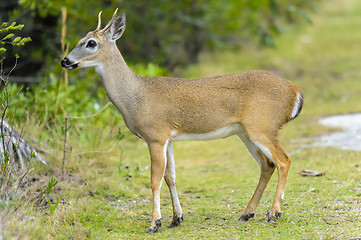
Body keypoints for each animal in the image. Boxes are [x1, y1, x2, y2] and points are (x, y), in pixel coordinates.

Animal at [60, 8, 302, 232]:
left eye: (91, 43)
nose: (65, 60)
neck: (136, 96)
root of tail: (295, 90)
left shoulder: (155, 135)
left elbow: (154, 179)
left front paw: (154, 223)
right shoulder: (168, 138)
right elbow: (171, 177)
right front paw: (176, 219)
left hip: (262, 126)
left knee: (284, 160)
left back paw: (274, 213)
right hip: (246, 132)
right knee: (267, 165)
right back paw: (247, 213)